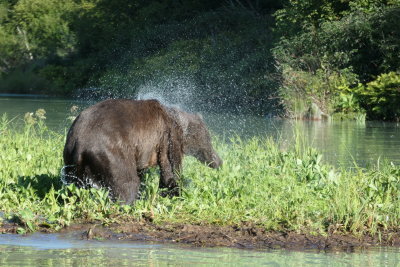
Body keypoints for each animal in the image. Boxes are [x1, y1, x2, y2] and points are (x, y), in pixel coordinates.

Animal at [64, 99, 223, 204]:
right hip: (112, 153)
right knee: (127, 183)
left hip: (70, 159)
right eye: (208, 138)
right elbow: (171, 170)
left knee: (73, 189)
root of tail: (80, 144)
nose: (219, 161)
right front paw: (177, 192)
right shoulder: (167, 138)